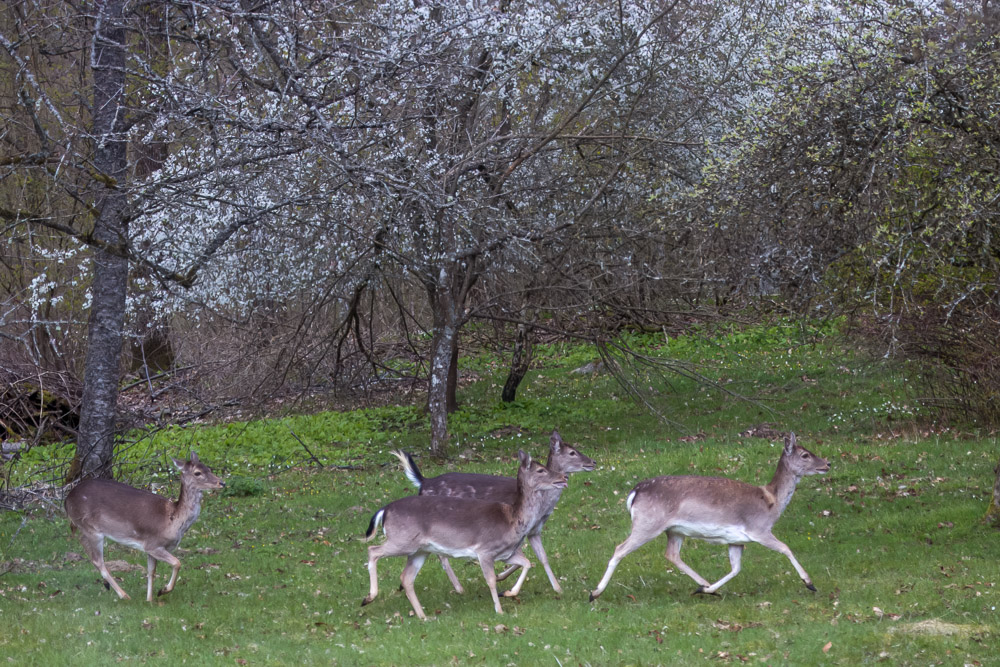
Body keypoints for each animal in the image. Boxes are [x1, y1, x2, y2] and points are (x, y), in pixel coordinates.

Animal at [64, 452, 225, 604]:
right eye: (197, 472)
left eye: (209, 468)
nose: (222, 482)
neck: (172, 520)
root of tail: (67, 500)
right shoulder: (153, 544)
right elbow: (177, 562)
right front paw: (163, 590)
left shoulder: (151, 549)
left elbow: (151, 572)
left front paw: (150, 600)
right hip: (93, 529)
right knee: (98, 561)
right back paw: (124, 595)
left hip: (86, 528)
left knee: (84, 544)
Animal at [362, 448, 568, 620]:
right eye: (541, 470)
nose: (563, 476)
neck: (512, 519)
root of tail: (384, 510)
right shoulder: (485, 550)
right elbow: (491, 580)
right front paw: (499, 610)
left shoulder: (505, 553)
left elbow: (527, 563)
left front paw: (509, 593)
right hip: (403, 539)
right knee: (373, 550)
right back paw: (369, 597)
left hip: (420, 550)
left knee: (406, 577)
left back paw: (423, 616)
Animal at [390, 430, 592, 596]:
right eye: (572, 452)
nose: (593, 462)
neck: (541, 506)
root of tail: (423, 482)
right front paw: (502, 577)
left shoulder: (534, 531)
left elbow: (542, 557)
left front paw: (557, 588)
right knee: (441, 555)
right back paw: (459, 588)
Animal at [584, 430, 828, 604]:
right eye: (805, 455)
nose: (827, 463)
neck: (772, 503)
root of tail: (635, 492)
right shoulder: (758, 529)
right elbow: (786, 548)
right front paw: (810, 583)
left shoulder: (735, 539)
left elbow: (736, 568)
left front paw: (708, 589)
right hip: (648, 523)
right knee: (620, 549)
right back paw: (594, 593)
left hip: (674, 530)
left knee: (672, 554)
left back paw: (704, 585)